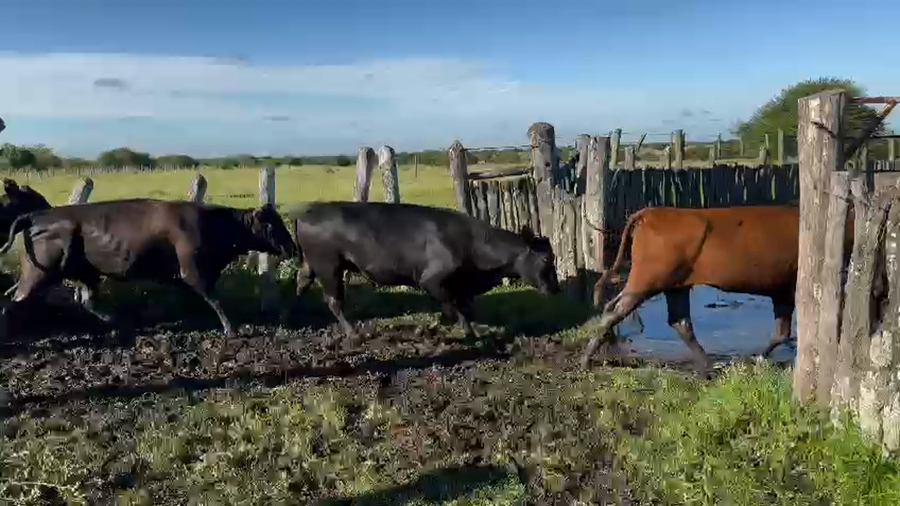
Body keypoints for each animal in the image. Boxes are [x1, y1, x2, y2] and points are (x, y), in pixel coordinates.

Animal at [0, 198, 297, 338]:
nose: (293, 248)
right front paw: (231, 328)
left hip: (84, 274)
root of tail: (37, 215)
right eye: (272, 225)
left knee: (84, 300)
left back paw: (120, 324)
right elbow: (215, 300)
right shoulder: (194, 271)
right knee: (12, 304)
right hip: (39, 274)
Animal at [288, 201, 560, 339]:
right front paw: (429, 328)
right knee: (333, 300)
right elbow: (449, 309)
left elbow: (463, 309)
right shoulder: (432, 280)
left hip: (313, 264)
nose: (555, 290)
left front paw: (470, 331)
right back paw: (353, 332)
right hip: (329, 266)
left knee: (301, 283)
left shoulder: (462, 286)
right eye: (546, 259)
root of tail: (307, 211)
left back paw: (294, 317)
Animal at [580, 204, 857, 374]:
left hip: (675, 286)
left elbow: (782, 331)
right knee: (614, 310)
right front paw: (755, 359)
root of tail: (649, 213)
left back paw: (709, 366)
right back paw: (586, 359)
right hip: (647, 280)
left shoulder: (781, 291)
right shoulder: (787, 290)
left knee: (679, 322)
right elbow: (784, 332)